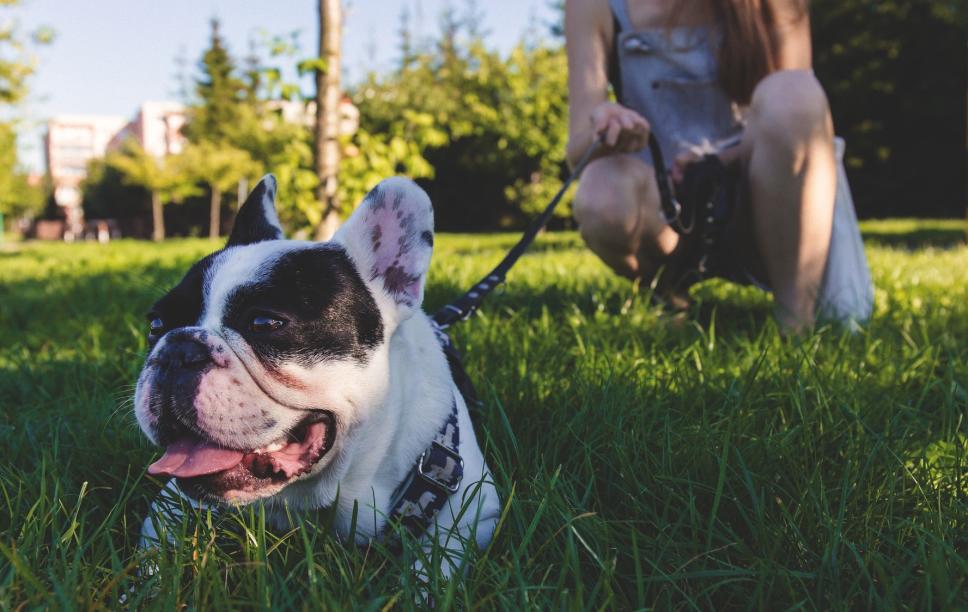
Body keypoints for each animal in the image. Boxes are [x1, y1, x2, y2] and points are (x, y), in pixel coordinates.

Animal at [131, 176, 500, 572]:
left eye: (264, 323)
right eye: (155, 325)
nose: (177, 350)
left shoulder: (475, 514)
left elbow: (435, 564)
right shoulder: (170, 504)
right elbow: (150, 556)